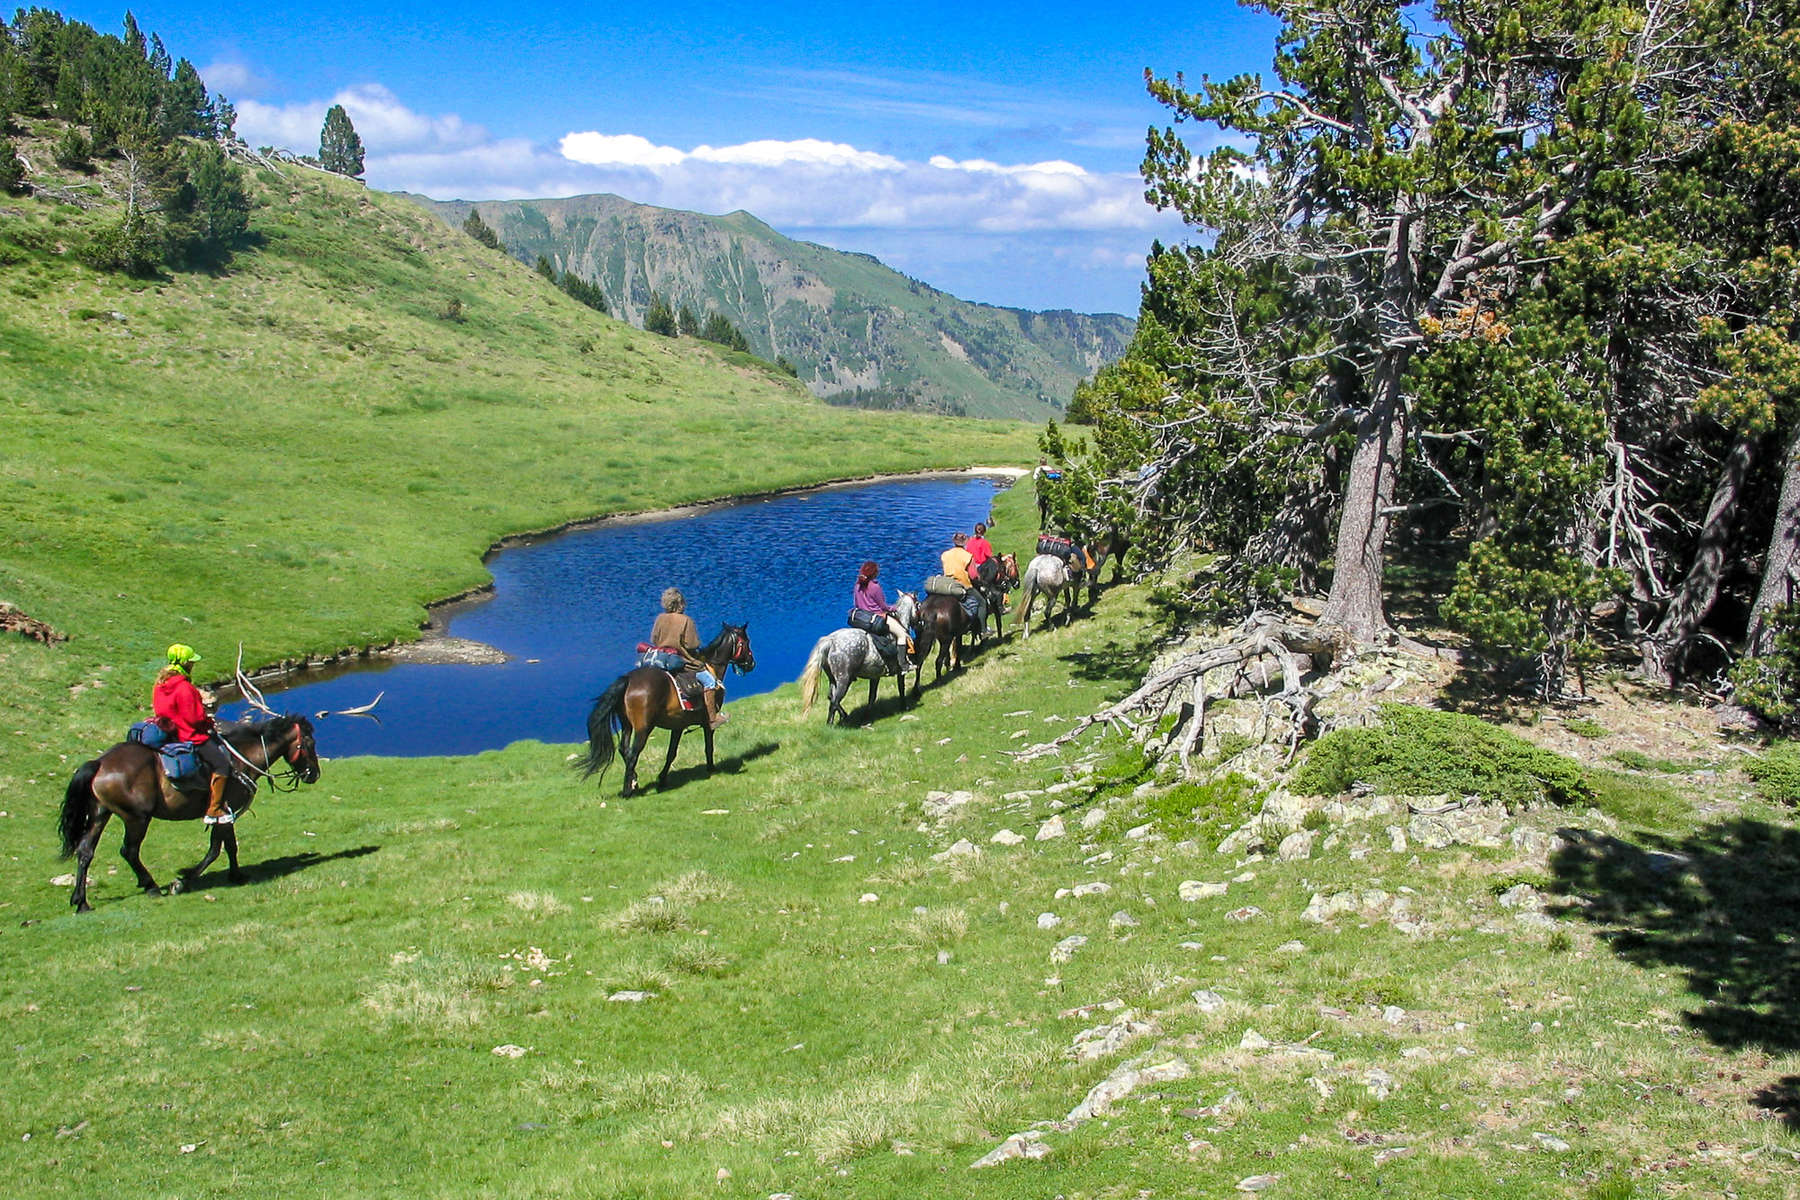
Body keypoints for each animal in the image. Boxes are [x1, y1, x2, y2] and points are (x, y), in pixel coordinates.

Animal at [56, 712, 322, 910]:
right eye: (309, 743)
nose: (314, 775)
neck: (242, 757)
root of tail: (100, 763)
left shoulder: (224, 814)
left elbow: (229, 846)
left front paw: (236, 876)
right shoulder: (224, 812)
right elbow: (216, 849)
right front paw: (183, 880)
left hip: (100, 814)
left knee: (85, 851)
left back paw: (81, 902)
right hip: (136, 819)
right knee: (129, 851)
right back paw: (151, 886)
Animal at [572, 626, 748, 802]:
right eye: (746, 642)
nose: (751, 663)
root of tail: (628, 680)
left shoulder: (678, 726)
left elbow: (671, 753)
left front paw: (662, 778)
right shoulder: (707, 723)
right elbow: (708, 747)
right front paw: (711, 769)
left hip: (627, 724)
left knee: (624, 749)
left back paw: (634, 780)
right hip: (643, 728)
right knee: (633, 754)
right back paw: (627, 791)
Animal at [799, 590, 921, 723]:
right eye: (918, 605)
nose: (921, 623)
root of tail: (830, 641)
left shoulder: (875, 676)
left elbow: (872, 696)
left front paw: (867, 716)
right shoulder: (900, 671)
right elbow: (901, 689)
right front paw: (904, 707)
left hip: (833, 679)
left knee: (831, 697)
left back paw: (844, 716)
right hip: (843, 680)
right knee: (835, 701)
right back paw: (833, 723)